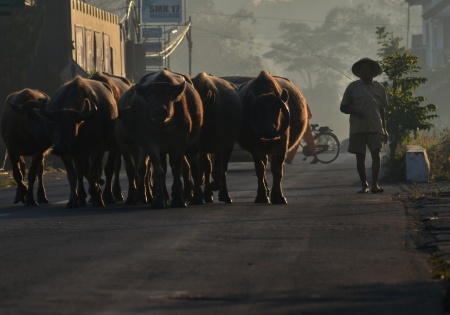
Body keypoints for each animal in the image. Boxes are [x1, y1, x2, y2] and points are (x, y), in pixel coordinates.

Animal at [35, 77, 118, 210]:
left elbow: (93, 173)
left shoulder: (97, 147)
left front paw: (96, 194)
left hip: (110, 144)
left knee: (105, 169)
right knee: (80, 171)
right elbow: (72, 175)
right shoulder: (70, 153)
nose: (60, 148)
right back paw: (82, 197)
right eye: (54, 126)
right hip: (79, 153)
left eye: (72, 126)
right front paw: (73, 200)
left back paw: (106, 196)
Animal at [120, 68, 203, 210]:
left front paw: (178, 199)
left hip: (192, 145)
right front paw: (158, 200)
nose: (160, 111)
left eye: (169, 94)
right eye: (150, 94)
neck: (163, 127)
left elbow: (176, 169)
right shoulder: (150, 144)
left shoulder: (181, 142)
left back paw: (197, 198)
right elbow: (159, 171)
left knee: (194, 167)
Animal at [192, 72, 244, 205]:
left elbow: (217, 170)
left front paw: (213, 187)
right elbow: (204, 166)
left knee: (223, 167)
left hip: (228, 145)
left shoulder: (219, 144)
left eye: (200, 112)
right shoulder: (201, 146)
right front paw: (205, 193)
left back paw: (225, 195)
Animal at [237, 71, 308, 205]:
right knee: (264, 165)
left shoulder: (282, 144)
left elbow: (277, 169)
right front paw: (261, 196)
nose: (270, 130)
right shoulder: (256, 147)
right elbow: (260, 169)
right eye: (259, 111)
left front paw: (279, 196)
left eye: (277, 110)